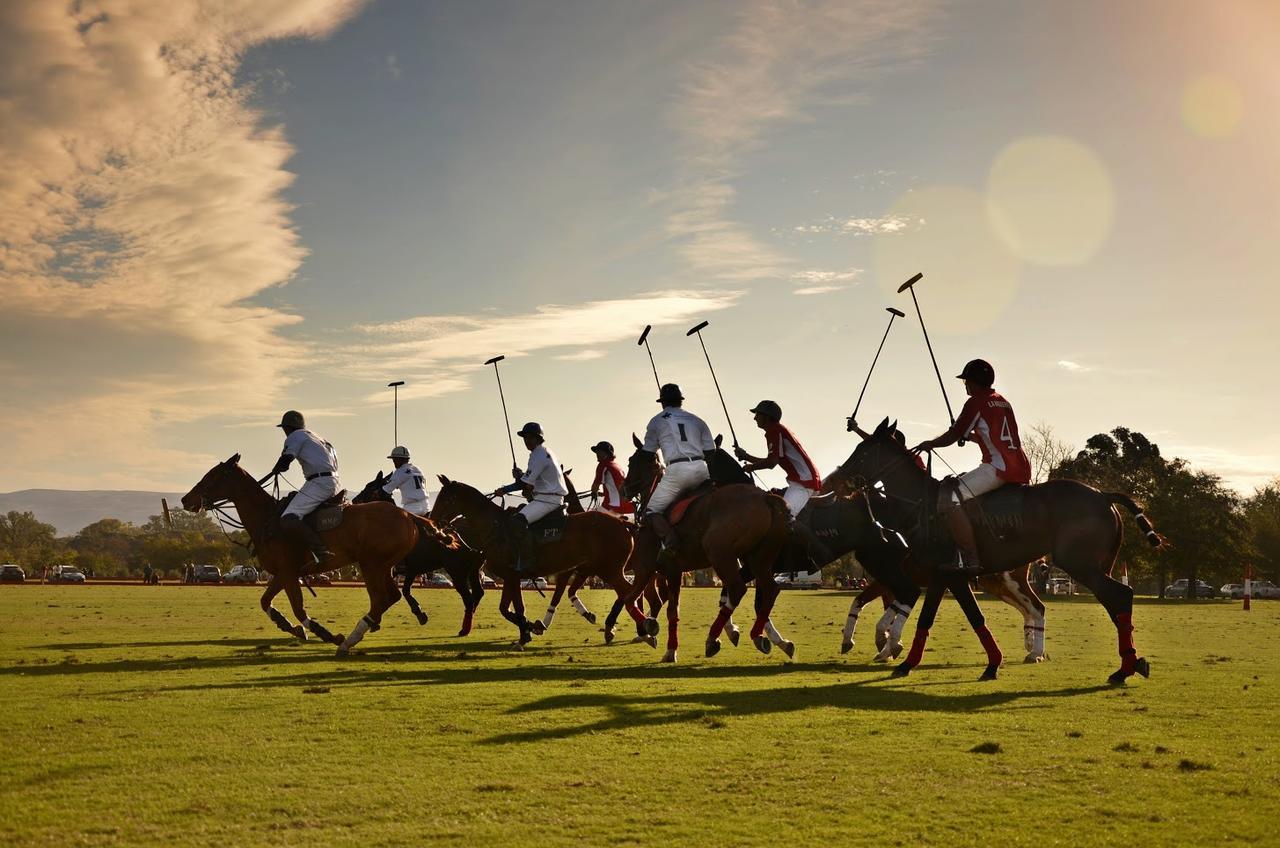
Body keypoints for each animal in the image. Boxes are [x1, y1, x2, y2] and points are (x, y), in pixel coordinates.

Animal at [177, 458, 460, 655]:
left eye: (212, 476)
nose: (185, 499)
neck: (267, 519)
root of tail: (409, 516)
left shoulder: (289, 572)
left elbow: (298, 607)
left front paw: (324, 633)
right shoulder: (283, 572)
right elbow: (265, 601)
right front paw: (289, 626)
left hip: (372, 564)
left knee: (384, 597)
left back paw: (348, 641)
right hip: (382, 565)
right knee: (389, 596)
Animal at [350, 471, 483, 637]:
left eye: (369, 487)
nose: (354, 500)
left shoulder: (402, 568)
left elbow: (397, 592)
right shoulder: (410, 569)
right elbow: (404, 591)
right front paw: (419, 613)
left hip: (456, 570)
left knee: (468, 597)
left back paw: (464, 628)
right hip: (473, 569)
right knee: (478, 593)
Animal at [430, 473, 650, 648]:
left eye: (445, 499)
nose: (432, 522)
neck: (494, 527)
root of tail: (625, 524)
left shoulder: (514, 575)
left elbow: (518, 607)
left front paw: (526, 633)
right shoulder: (511, 576)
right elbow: (505, 608)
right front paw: (529, 628)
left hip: (609, 569)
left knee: (629, 593)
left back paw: (643, 627)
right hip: (608, 569)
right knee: (631, 593)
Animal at [616, 438, 793, 666]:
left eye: (633, 461)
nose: (623, 490)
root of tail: (766, 499)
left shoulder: (647, 569)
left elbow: (634, 602)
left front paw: (652, 631)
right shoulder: (670, 572)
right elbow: (666, 608)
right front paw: (663, 643)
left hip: (719, 552)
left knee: (737, 589)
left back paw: (713, 640)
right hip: (757, 558)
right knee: (770, 590)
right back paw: (763, 638)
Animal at [824, 417, 1167, 686]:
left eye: (862, 452)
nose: (831, 481)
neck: (914, 507)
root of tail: (1104, 495)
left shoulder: (936, 575)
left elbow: (935, 616)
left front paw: (899, 656)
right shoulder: (944, 576)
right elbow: (945, 618)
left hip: (1077, 564)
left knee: (1116, 596)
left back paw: (1121, 668)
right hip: (1089, 566)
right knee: (1107, 602)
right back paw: (1128, 663)